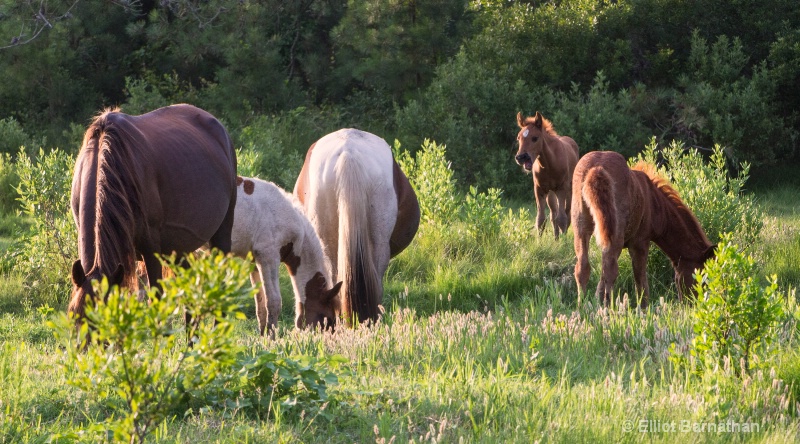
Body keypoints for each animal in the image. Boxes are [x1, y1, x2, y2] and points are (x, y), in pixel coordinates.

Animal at [231, 175, 344, 334]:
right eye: (327, 318)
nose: (329, 337)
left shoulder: (254, 262)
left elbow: (260, 307)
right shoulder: (268, 258)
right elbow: (273, 303)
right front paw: (271, 337)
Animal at [516, 112, 580, 241]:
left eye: (535, 138)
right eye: (518, 138)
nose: (520, 157)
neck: (550, 163)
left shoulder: (561, 189)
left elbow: (562, 218)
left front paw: (564, 242)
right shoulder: (539, 189)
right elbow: (541, 219)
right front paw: (539, 242)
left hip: (569, 190)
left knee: (567, 213)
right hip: (550, 193)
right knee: (553, 214)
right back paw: (556, 238)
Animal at [572, 151, 716, 306]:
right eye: (702, 278)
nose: (697, 304)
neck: (655, 204)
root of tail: (596, 169)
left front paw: (596, 300)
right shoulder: (640, 242)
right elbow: (640, 279)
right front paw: (644, 308)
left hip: (581, 229)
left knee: (583, 268)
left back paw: (582, 306)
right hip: (615, 235)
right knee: (611, 270)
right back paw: (607, 307)